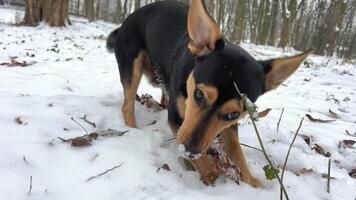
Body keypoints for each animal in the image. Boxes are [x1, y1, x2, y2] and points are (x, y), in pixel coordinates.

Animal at [106, 0, 312, 188]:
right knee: (127, 106)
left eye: (233, 114)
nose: (191, 149)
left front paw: (252, 182)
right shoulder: (177, 120)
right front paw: (209, 173)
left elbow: (237, 153)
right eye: (198, 95)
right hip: (132, 68)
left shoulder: (229, 126)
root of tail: (125, 22)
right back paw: (134, 130)